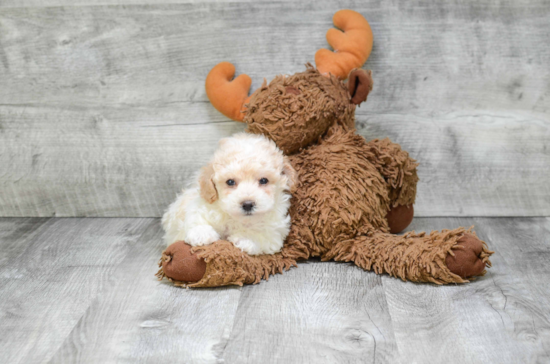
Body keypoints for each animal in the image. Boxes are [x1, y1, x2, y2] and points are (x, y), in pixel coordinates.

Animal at [162, 132, 296, 255]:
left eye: (264, 180)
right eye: (230, 182)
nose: (247, 204)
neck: (237, 219)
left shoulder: (275, 232)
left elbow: (262, 235)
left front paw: (246, 238)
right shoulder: (200, 207)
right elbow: (196, 218)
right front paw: (202, 234)